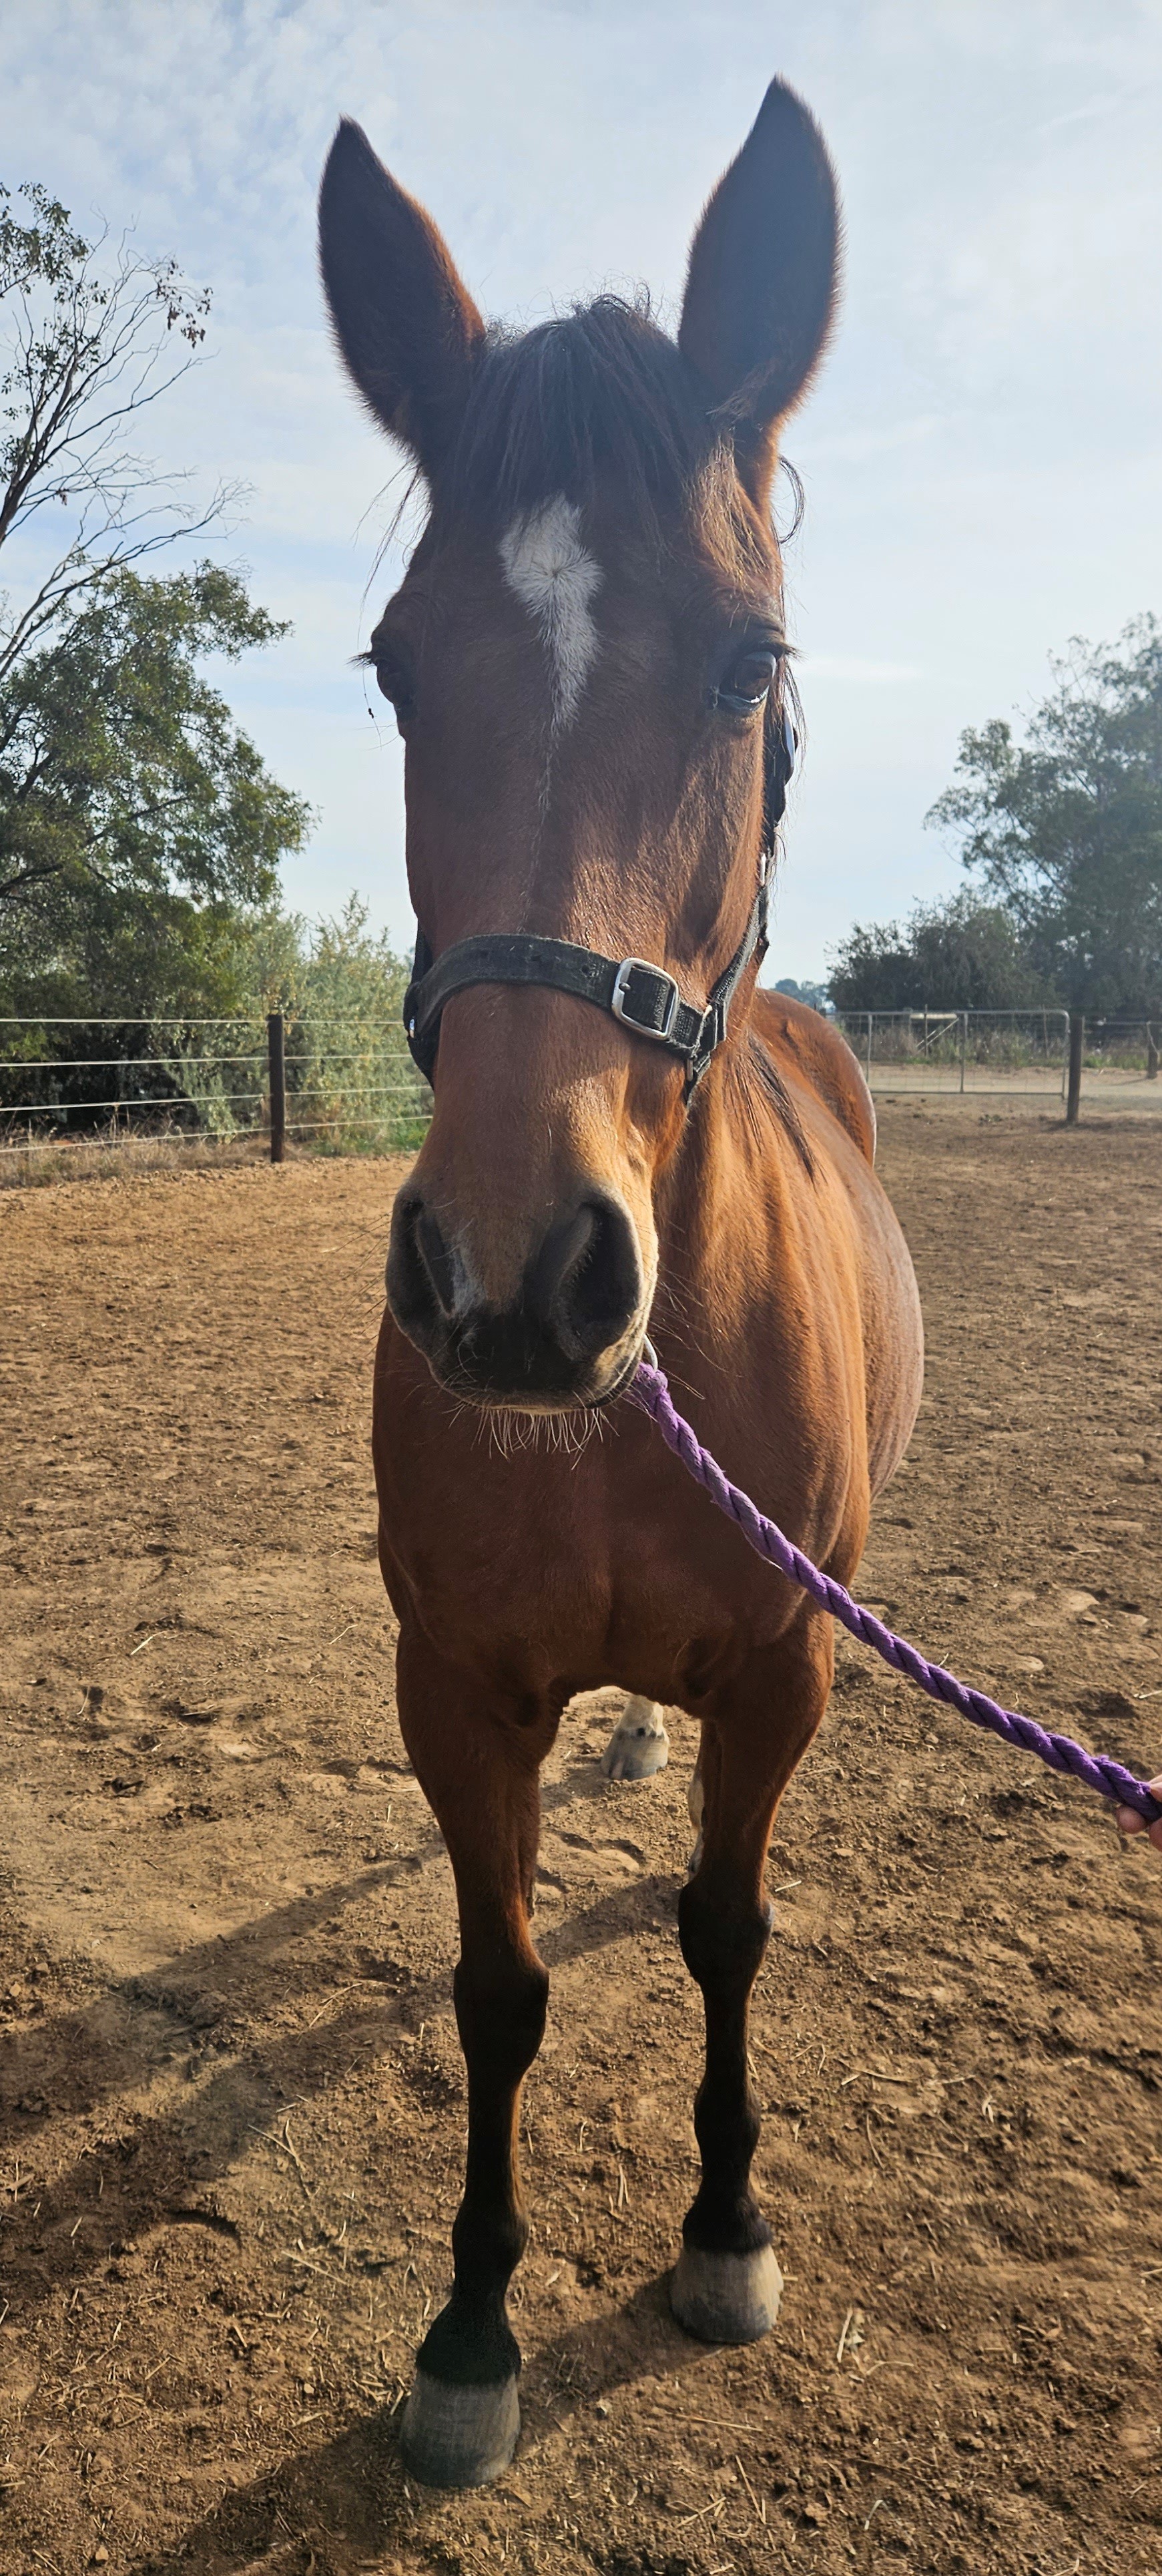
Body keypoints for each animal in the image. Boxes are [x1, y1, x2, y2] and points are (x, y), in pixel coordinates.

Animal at [318, 77, 924, 2489]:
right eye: (396, 667)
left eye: (749, 660)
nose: (512, 1277)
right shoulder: (454, 1686)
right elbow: (498, 1988)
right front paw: (470, 2324)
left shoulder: (784, 1668)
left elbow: (726, 1926)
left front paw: (723, 2227)